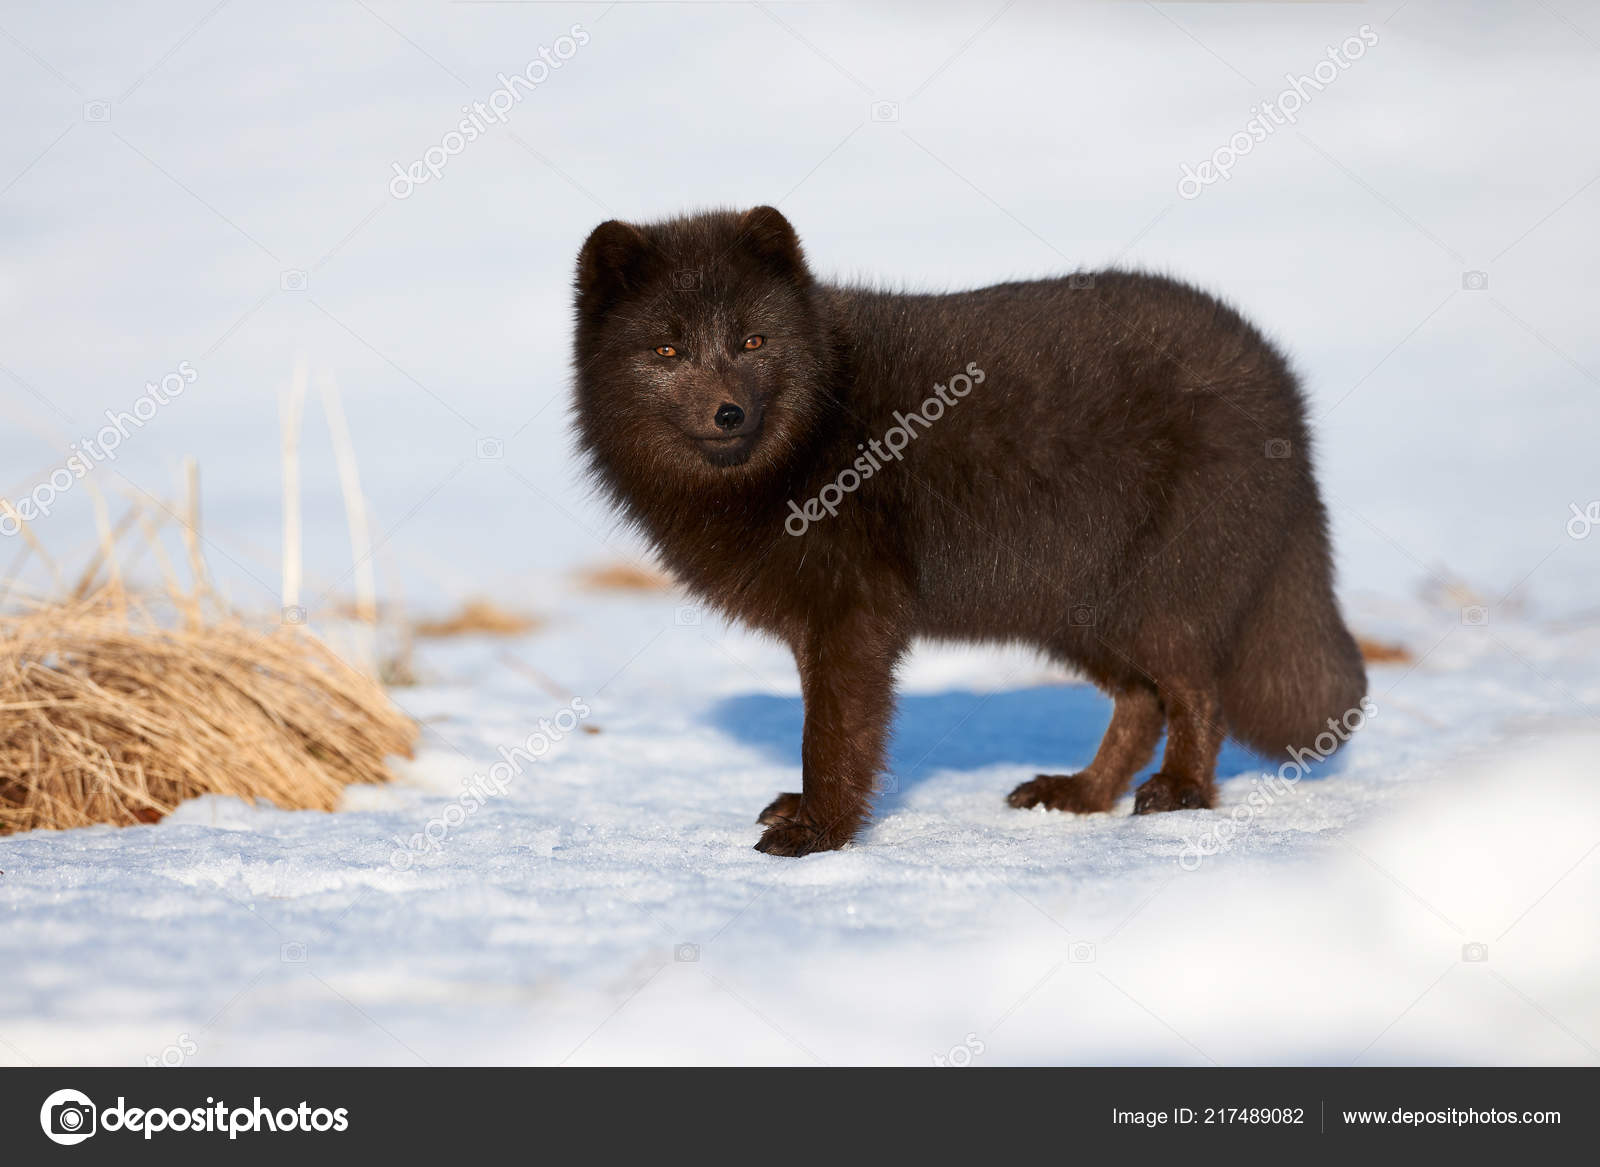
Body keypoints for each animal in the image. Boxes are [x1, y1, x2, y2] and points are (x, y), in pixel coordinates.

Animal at [571, 206, 1367, 856]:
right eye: (667, 351)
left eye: (752, 340)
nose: (729, 412)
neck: (818, 435)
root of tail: (1285, 388)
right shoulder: (812, 625)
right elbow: (827, 730)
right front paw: (806, 813)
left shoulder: (854, 614)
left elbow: (831, 736)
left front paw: (820, 834)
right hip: (1074, 609)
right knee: (1144, 700)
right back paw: (1081, 793)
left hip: (1153, 597)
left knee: (1197, 691)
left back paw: (1181, 794)